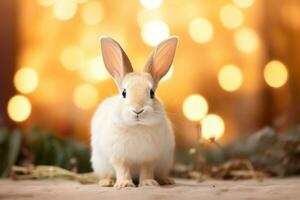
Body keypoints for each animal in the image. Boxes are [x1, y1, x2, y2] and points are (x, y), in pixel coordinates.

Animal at [89, 35, 178, 188]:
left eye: (152, 93)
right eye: (124, 93)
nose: (137, 110)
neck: (137, 126)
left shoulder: (150, 157)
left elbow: (147, 169)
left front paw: (148, 183)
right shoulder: (118, 157)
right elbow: (122, 169)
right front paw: (124, 184)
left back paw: (166, 180)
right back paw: (106, 182)